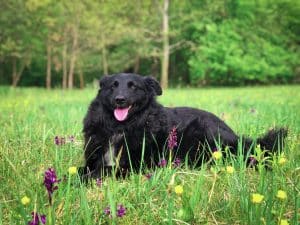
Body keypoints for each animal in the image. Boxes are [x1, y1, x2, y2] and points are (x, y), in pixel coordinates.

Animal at [81, 73, 288, 178]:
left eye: (133, 86)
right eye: (113, 86)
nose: (120, 99)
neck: (120, 127)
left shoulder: (136, 165)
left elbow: (103, 170)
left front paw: (81, 180)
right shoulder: (93, 160)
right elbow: (84, 169)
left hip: (205, 131)